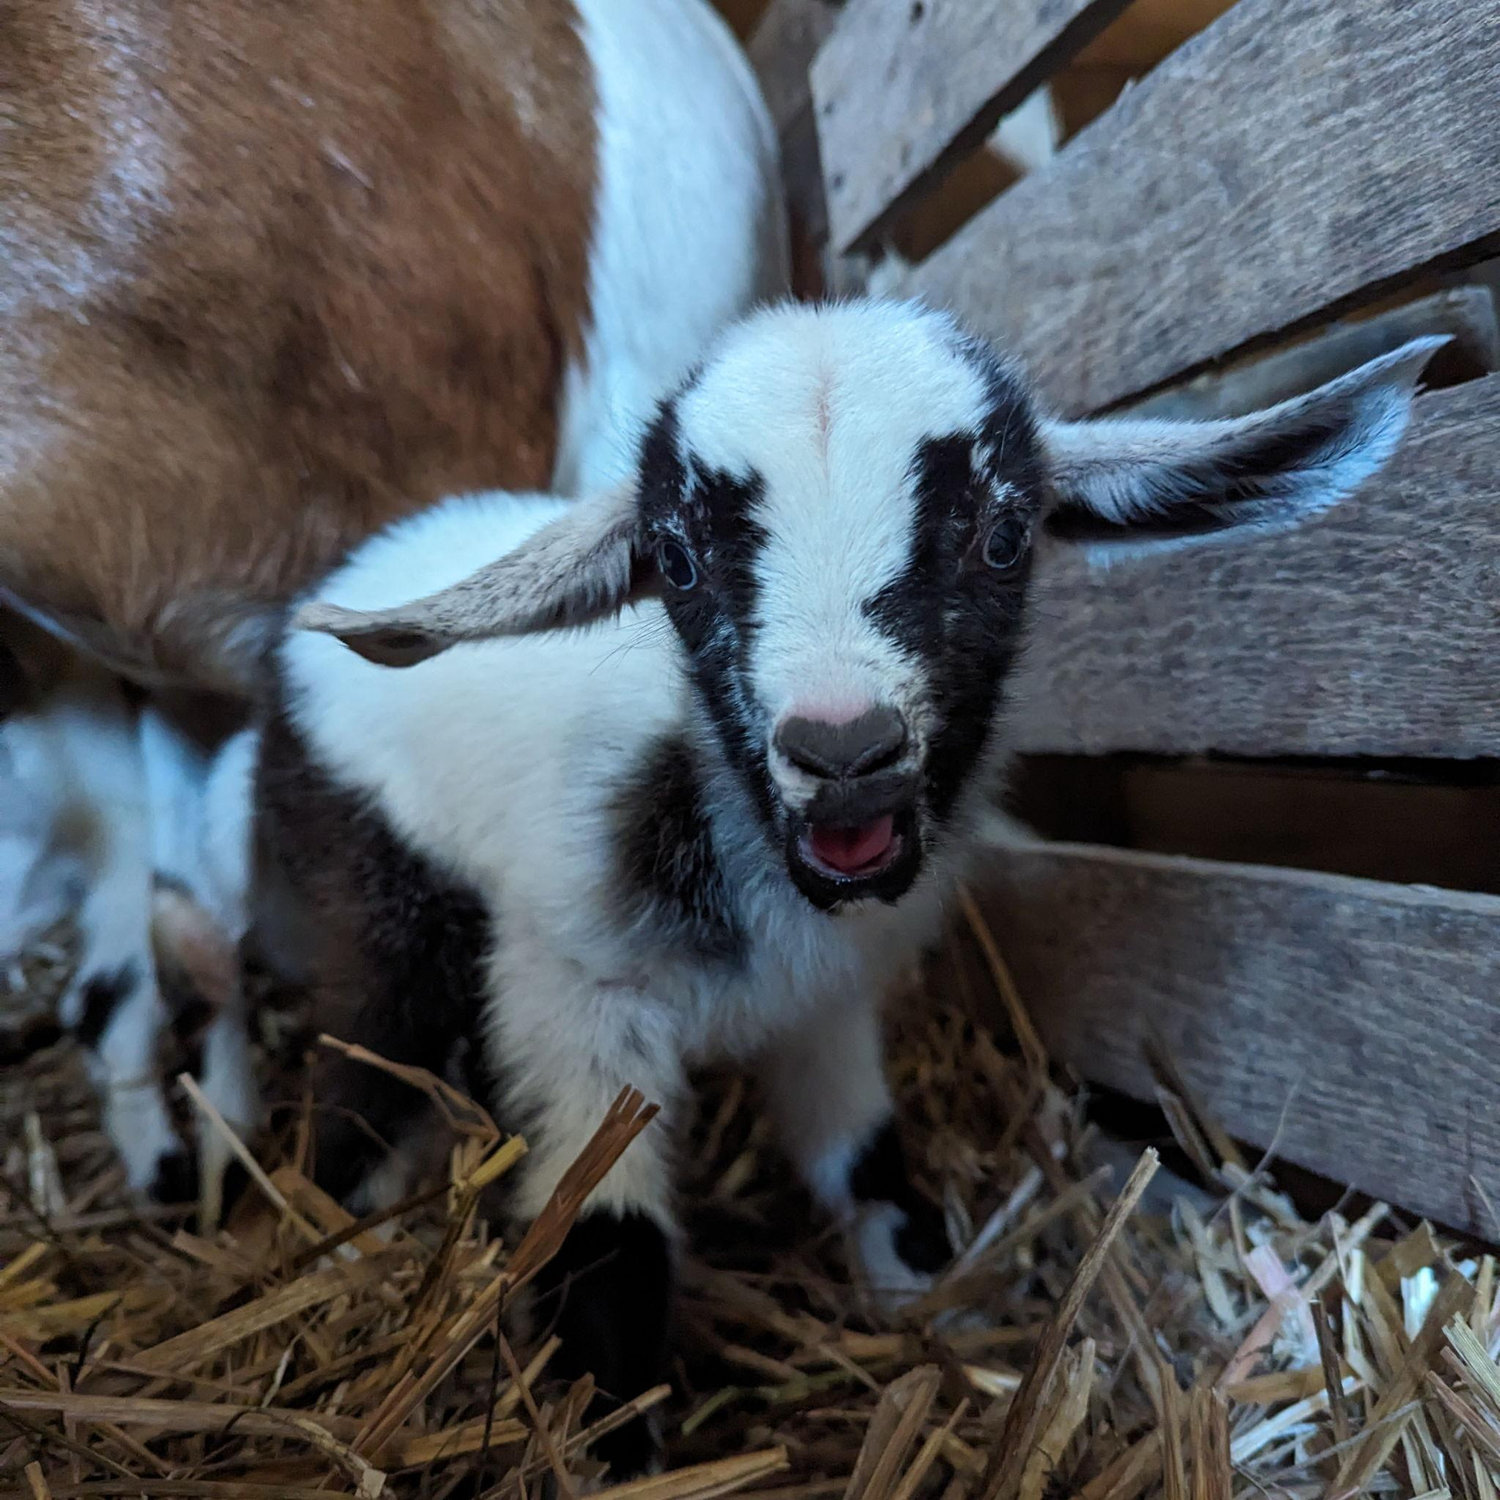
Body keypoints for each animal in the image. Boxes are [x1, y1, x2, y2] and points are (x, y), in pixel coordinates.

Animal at [266, 299, 1442, 1473]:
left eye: (1004, 538)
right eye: (675, 561)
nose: (843, 750)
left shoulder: (825, 1003)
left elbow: (868, 1163)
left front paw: (933, 1312)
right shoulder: (573, 997)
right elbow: (605, 1235)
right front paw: (618, 1448)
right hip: (377, 890)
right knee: (365, 1064)